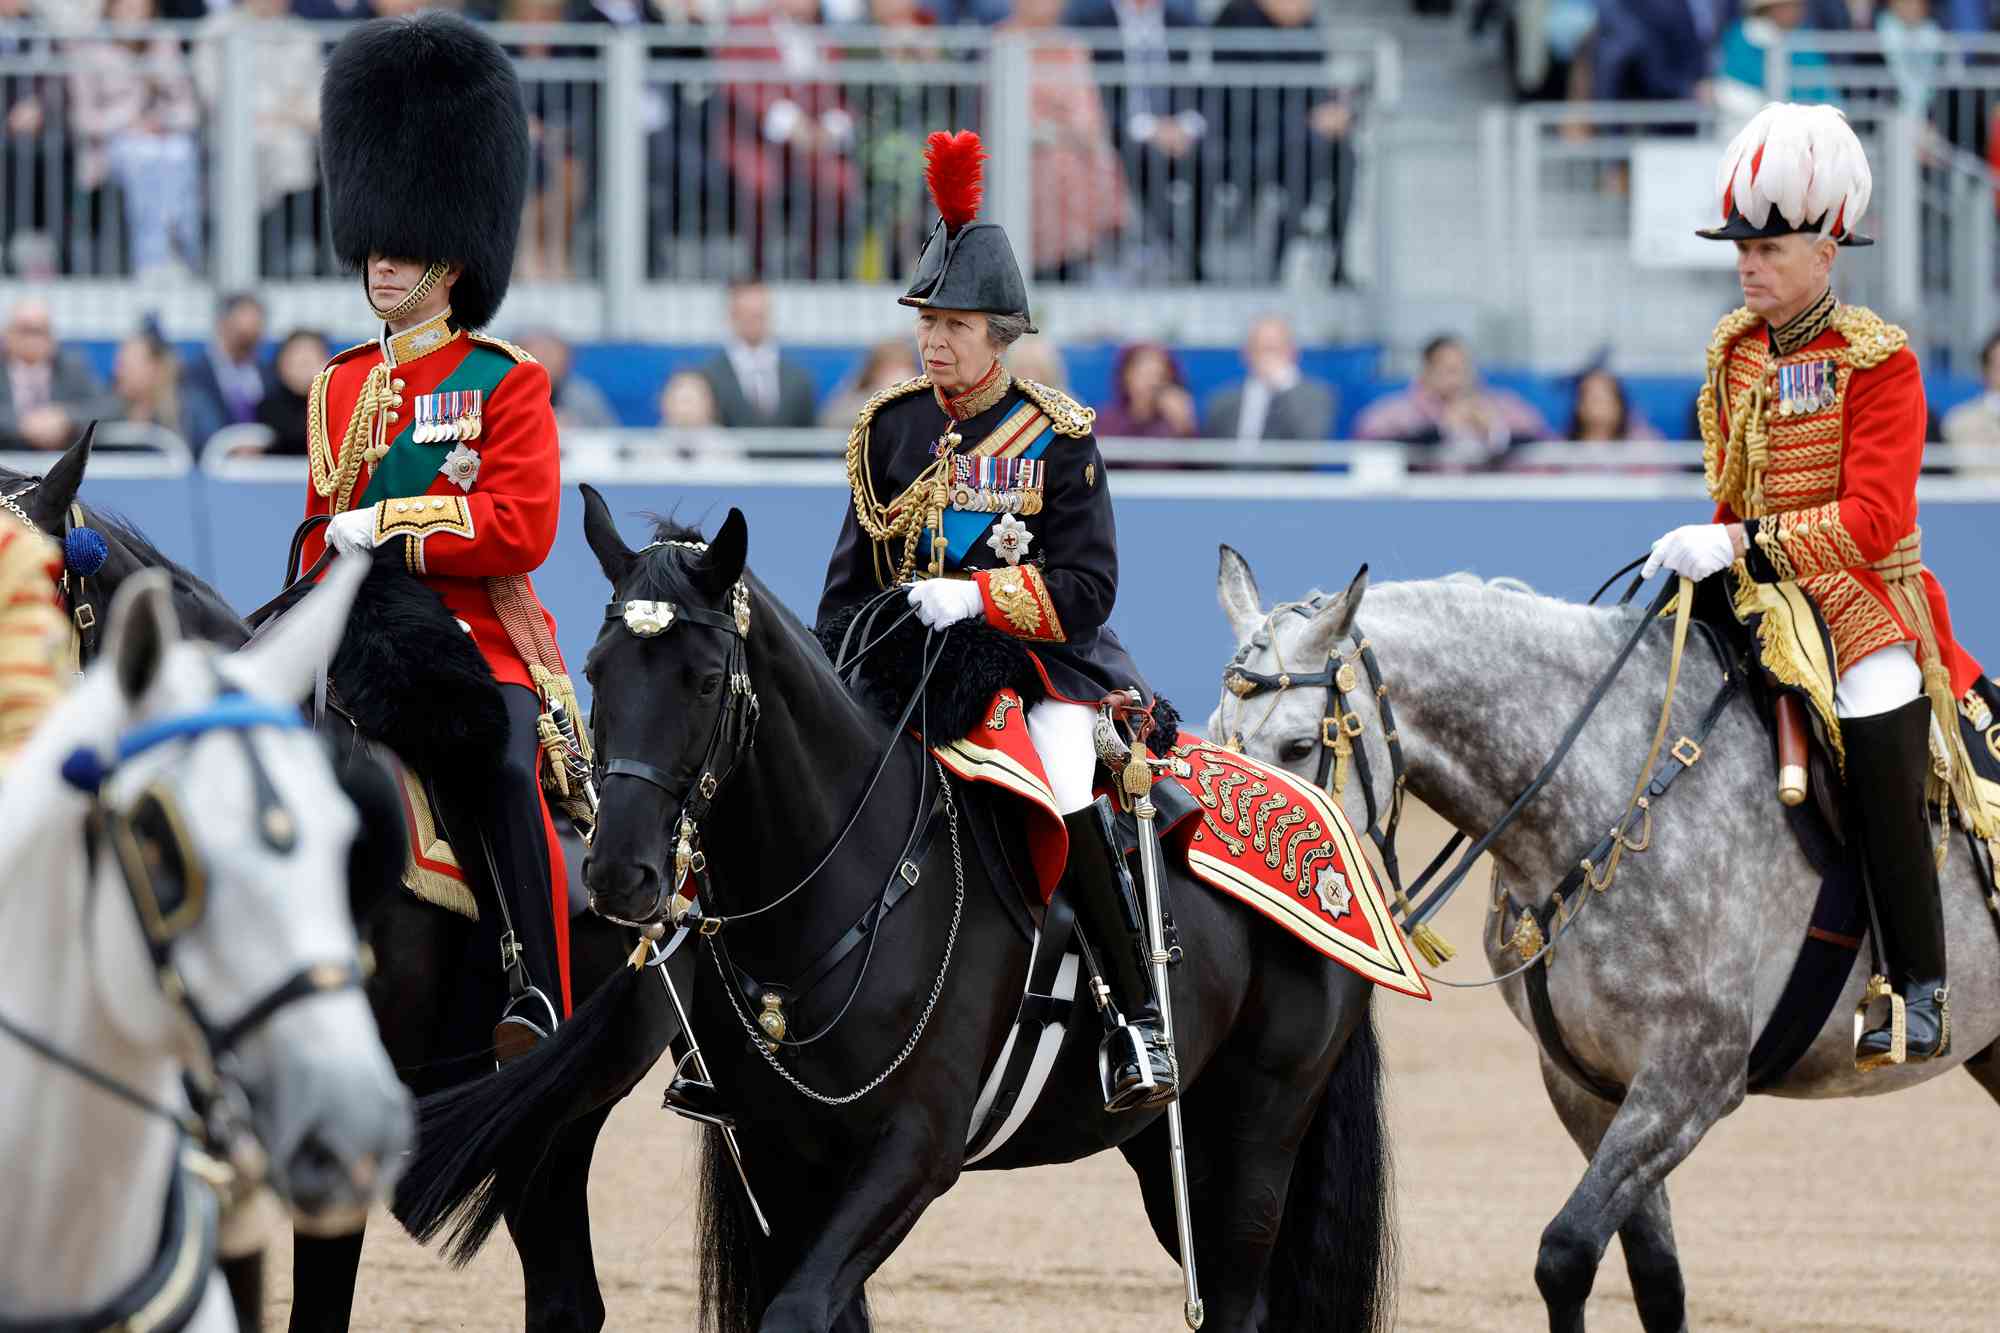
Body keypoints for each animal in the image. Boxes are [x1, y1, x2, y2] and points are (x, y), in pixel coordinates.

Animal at [386, 492, 1392, 1328]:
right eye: (595, 668)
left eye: (705, 680)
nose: (619, 873)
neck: (845, 880)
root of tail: (1330, 821)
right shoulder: (784, 1161)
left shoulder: (915, 1150)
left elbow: (797, 1311)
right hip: (1165, 1148)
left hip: (1260, 1126)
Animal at [1200, 544, 2000, 1320]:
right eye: (1212, 739)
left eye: (1299, 747)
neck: (1609, 795)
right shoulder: (1588, 1085)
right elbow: (1654, 1275)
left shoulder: (1692, 1079)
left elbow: (1566, 1251)